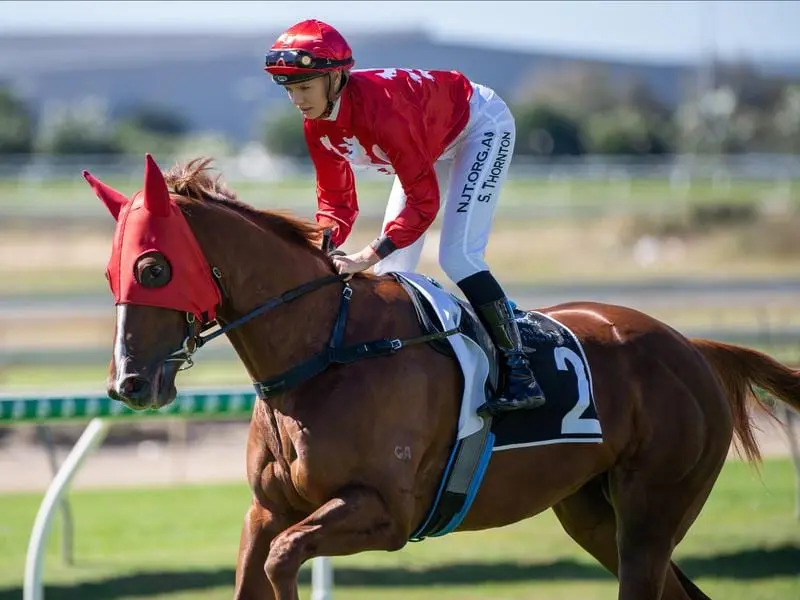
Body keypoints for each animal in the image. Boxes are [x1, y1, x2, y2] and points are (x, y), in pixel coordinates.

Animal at [83, 156, 800, 600]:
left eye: (152, 268)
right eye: (111, 273)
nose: (129, 385)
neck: (326, 352)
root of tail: (691, 346)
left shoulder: (385, 512)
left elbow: (287, 556)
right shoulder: (266, 511)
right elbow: (258, 563)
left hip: (654, 508)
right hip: (593, 515)